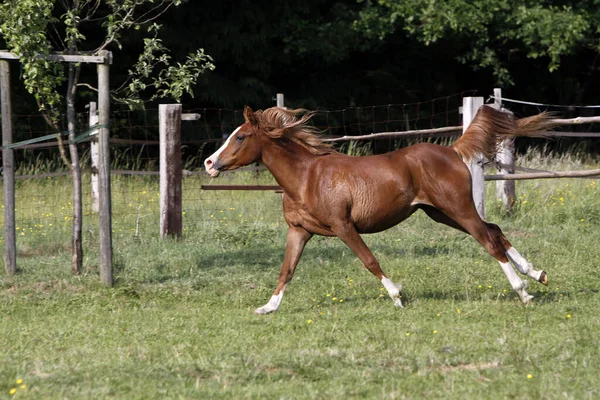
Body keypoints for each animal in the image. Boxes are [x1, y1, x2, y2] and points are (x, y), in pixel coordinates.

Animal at [204, 104, 556, 314]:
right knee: (495, 230)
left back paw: (523, 291)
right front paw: (268, 307)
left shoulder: (344, 227)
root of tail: (453, 151)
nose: (209, 163)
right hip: (440, 213)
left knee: (489, 240)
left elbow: (369, 261)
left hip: (458, 209)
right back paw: (536, 273)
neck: (306, 178)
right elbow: (286, 269)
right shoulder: (299, 231)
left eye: (241, 137)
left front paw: (397, 296)